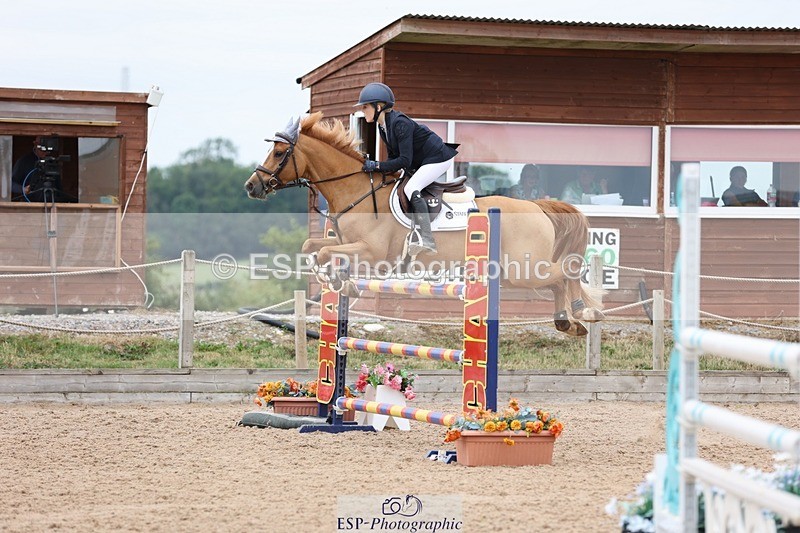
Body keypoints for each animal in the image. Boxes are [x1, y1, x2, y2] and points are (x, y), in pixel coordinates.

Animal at [245, 112, 604, 336]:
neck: (357, 191)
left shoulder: (374, 254)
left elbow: (323, 254)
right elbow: (313, 247)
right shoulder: (345, 243)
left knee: (566, 272)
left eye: (279, 153)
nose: (251, 186)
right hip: (513, 272)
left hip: (524, 269)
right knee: (558, 280)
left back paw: (584, 314)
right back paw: (568, 323)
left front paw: (338, 281)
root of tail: (537, 206)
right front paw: (339, 282)